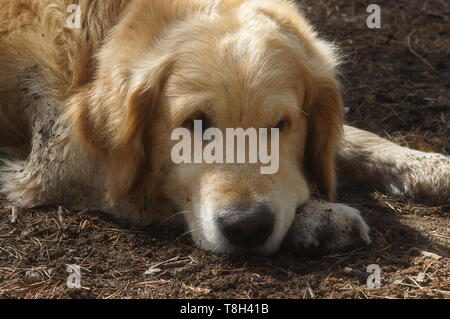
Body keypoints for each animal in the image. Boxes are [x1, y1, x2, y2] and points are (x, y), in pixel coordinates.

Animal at [0, 0, 450, 255]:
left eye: (281, 124)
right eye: (196, 122)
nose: (247, 226)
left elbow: (354, 139)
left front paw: (427, 164)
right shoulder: (63, 161)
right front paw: (318, 214)